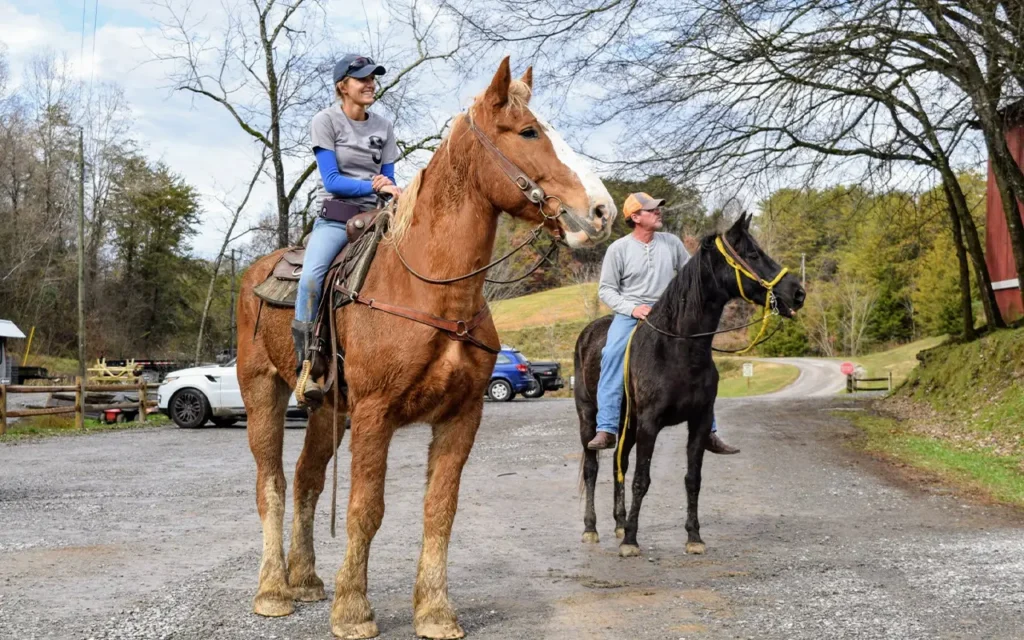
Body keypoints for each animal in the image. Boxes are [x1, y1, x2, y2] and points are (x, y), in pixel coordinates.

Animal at [236, 57, 614, 640]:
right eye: (529, 131)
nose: (601, 211)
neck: (432, 289)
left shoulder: (461, 416)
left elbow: (440, 510)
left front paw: (435, 610)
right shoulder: (375, 414)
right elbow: (366, 509)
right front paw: (353, 610)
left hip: (327, 409)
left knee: (307, 479)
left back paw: (306, 580)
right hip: (263, 392)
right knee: (271, 483)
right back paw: (274, 590)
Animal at [574, 213, 805, 558]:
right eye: (752, 254)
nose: (798, 293)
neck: (678, 347)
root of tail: (587, 334)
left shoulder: (698, 421)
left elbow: (692, 479)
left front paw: (694, 536)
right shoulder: (650, 424)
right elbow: (642, 479)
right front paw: (631, 541)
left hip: (627, 425)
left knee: (619, 464)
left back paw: (618, 523)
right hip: (590, 418)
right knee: (593, 467)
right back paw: (592, 529)